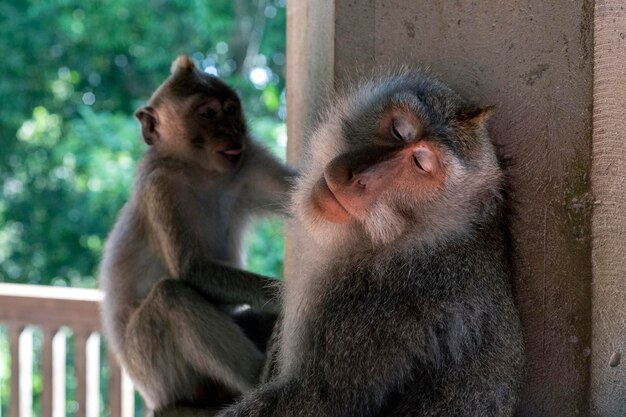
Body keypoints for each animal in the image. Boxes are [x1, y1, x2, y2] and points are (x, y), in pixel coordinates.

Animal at [98, 57, 294, 412]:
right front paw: (285, 295)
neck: (201, 172)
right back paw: (260, 379)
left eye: (230, 109)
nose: (232, 131)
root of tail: (153, 396)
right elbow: (193, 269)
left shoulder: (249, 161)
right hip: (158, 367)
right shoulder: (160, 188)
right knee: (170, 296)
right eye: (208, 114)